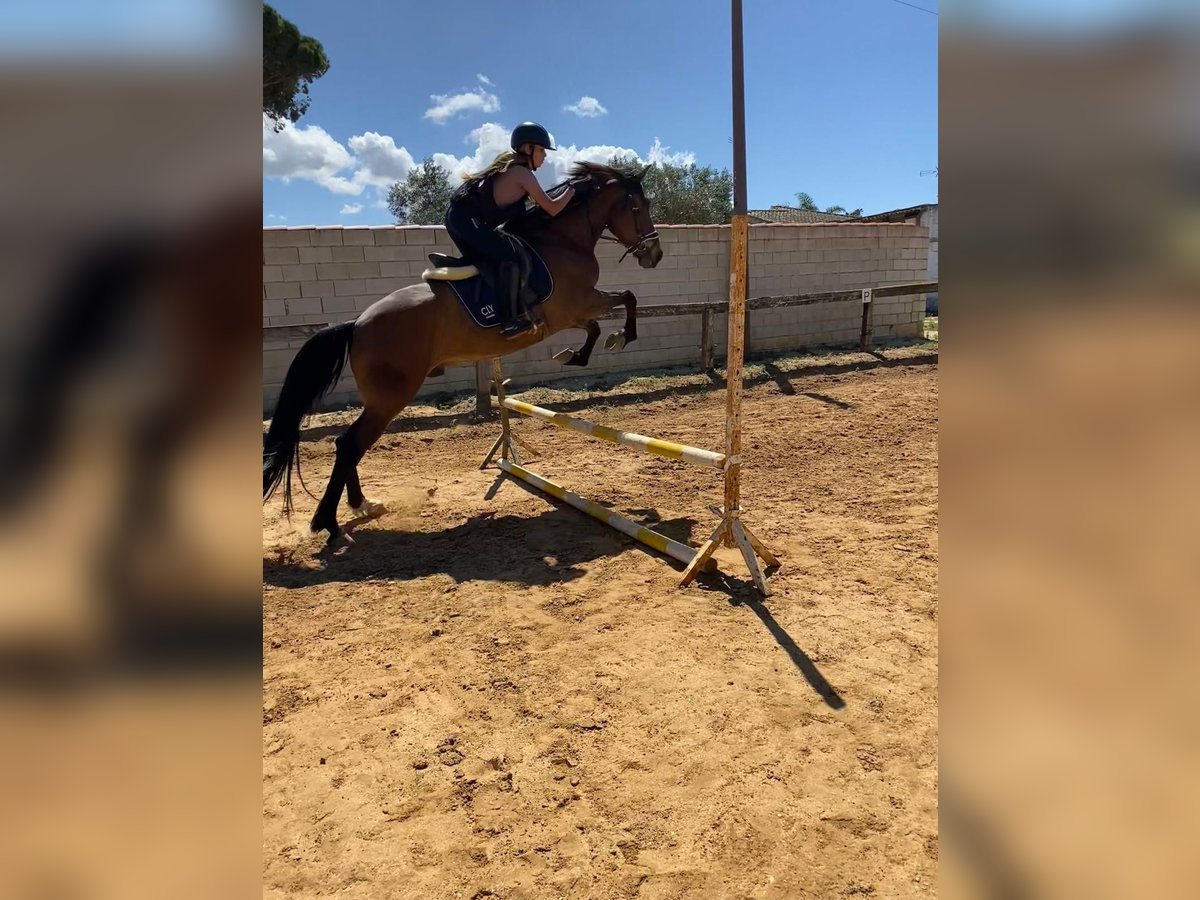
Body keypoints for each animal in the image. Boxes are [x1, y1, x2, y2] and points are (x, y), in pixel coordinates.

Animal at [261, 160, 667, 549]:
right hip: (391, 397)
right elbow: (627, 299)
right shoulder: (577, 305)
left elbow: (602, 322)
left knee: (349, 443)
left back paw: (362, 505)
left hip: (379, 399)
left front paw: (576, 354)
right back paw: (331, 526)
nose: (655, 254)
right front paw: (617, 340)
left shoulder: (576, 312)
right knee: (349, 444)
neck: (563, 242)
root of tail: (357, 323)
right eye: (638, 206)